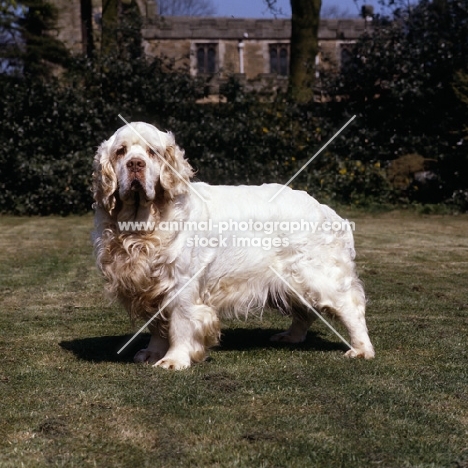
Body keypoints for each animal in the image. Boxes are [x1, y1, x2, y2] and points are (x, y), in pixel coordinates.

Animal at [92, 121, 376, 370]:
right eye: (121, 151)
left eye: (152, 151)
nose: (135, 164)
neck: (144, 227)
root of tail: (325, 209)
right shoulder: (150, 285)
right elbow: (158, 324)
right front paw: (153, 352)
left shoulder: (181, 283)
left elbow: (180, 322)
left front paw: (175, 359)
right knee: (304, 311)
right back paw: (292, 337)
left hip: (317, 276)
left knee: (351, 307)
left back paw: (361, 349)